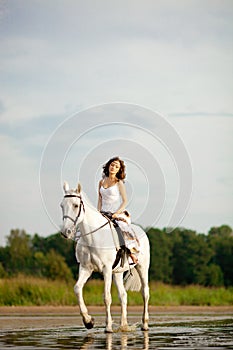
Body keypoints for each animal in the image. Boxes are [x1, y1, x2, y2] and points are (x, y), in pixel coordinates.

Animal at [60, 182, 150, 332]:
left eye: (76, 205)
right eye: (62, 205)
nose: (65, 232)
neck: (93, 237)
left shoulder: (106, 269)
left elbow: (107, 297)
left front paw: (108, 327)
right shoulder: (85, 268)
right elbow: (77, 289)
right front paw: (88, 321)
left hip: (142, 267)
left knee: (145, 293)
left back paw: (145, 324)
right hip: (118, 272)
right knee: (123, 295)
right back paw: (123, 324)